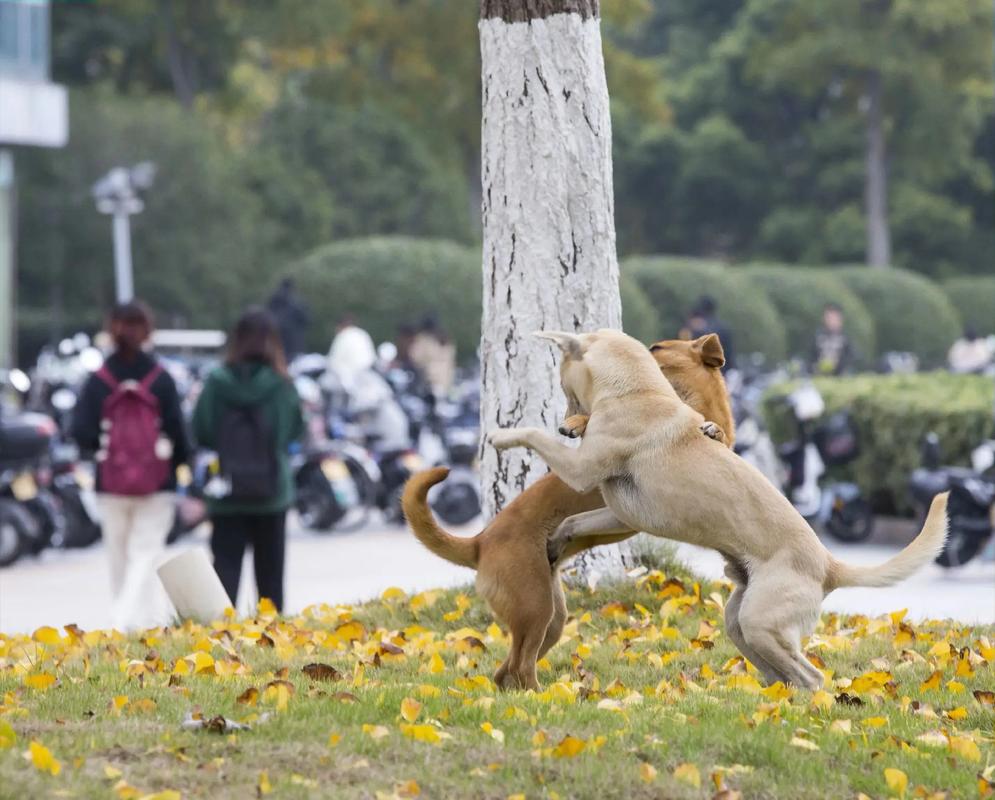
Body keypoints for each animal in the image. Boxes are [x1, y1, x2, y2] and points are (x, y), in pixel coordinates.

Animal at [400, 334, 736, 692]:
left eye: (656, 348)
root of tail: (480, 541)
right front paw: (575, 424)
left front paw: (714, 431)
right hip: (535, 608)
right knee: (520, 665)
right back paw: (543, 696)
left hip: (550, 619)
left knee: (507, 669)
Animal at [488, 328, 948, 692]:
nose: (566, 423)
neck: (638, 390)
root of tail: (829, 565)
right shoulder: (620, 513)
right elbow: (573, 520)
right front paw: (554, 543)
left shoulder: (583, 471)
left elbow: (534, 438)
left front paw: (501, 436)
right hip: (739, 621)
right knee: (783, 672)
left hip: (761, 622)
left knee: (813, 677)